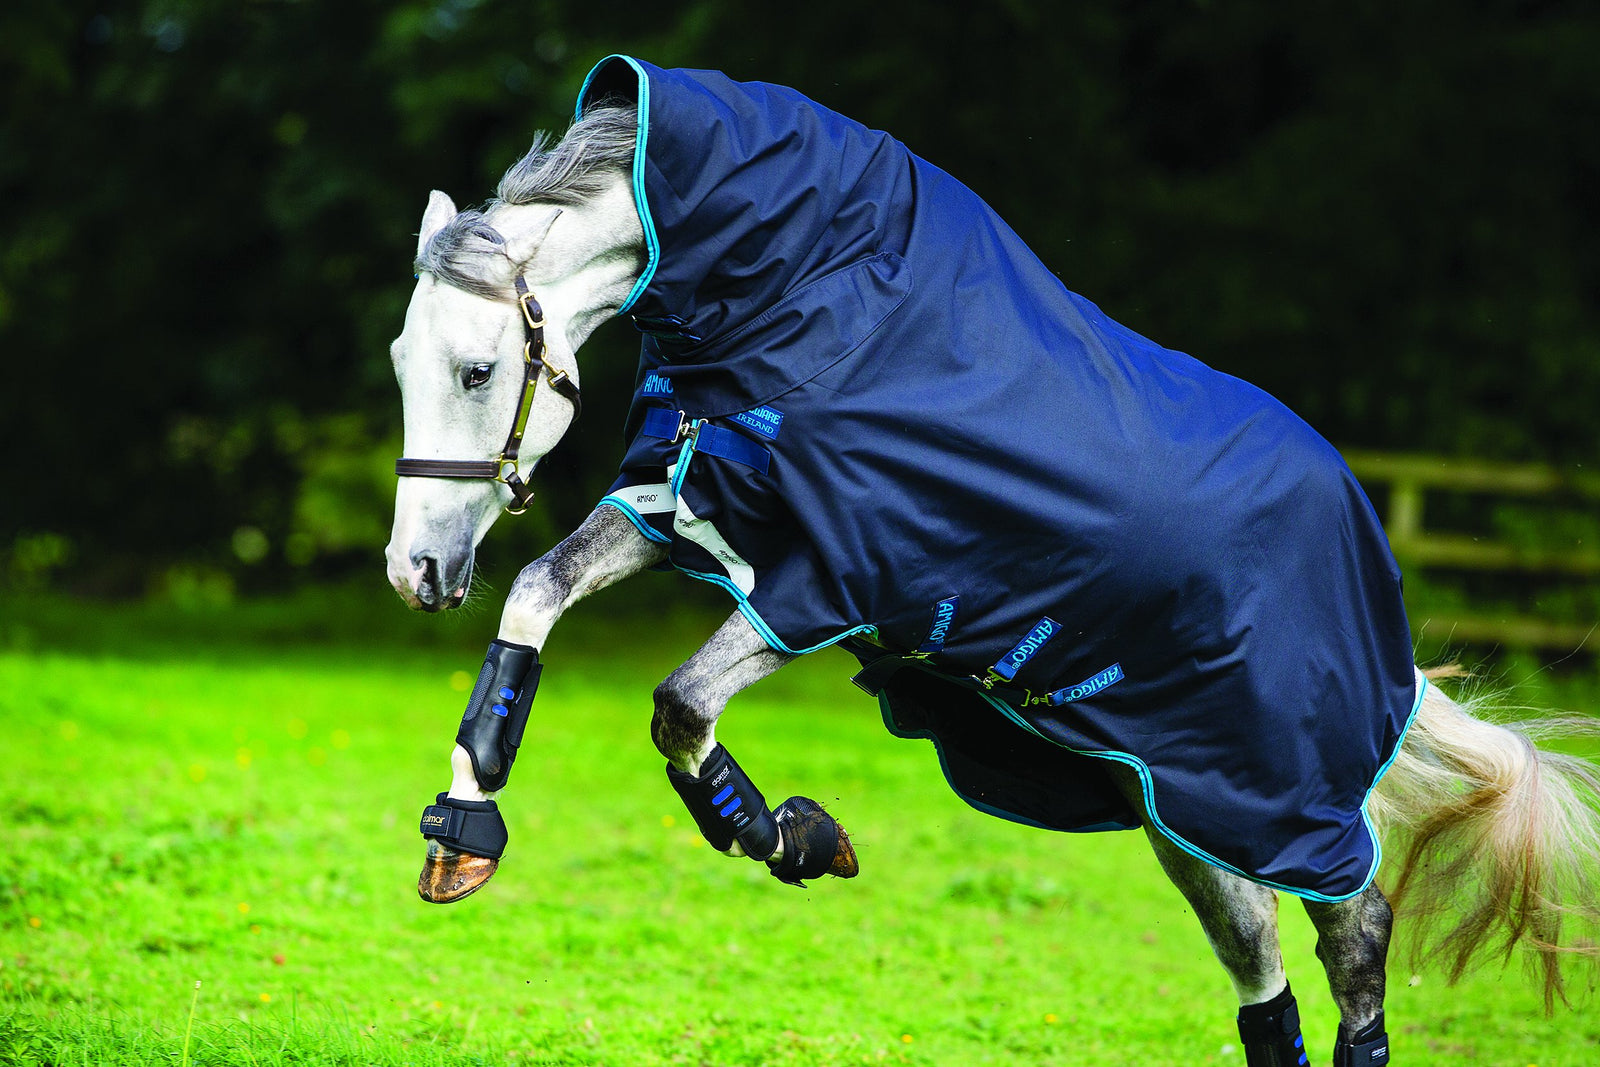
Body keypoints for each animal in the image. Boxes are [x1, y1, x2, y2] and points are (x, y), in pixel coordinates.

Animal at [385, 56, 1600, 1065]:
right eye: (403, 358)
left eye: (479, 369)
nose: (415, 574)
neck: (809, 302)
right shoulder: (681, 502)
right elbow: (535, 599)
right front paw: (462, 834)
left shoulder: (831, 578)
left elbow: (682, 703)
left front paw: (793, 836)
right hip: (1173, 792)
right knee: (1260, 967)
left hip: (1277, 789)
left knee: (1355, 933)